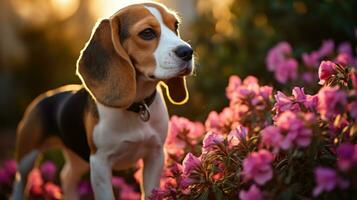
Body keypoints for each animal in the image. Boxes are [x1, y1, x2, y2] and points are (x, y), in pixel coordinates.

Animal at [12, 1, 193, 200]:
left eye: (175, 26)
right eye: (147, 32)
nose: (188, 52)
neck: (137, 105)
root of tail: (44, 96)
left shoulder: (155, 154)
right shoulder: (99, 163)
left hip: (79, 156)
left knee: (67, 176)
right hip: (27, 157)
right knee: (20, 182)